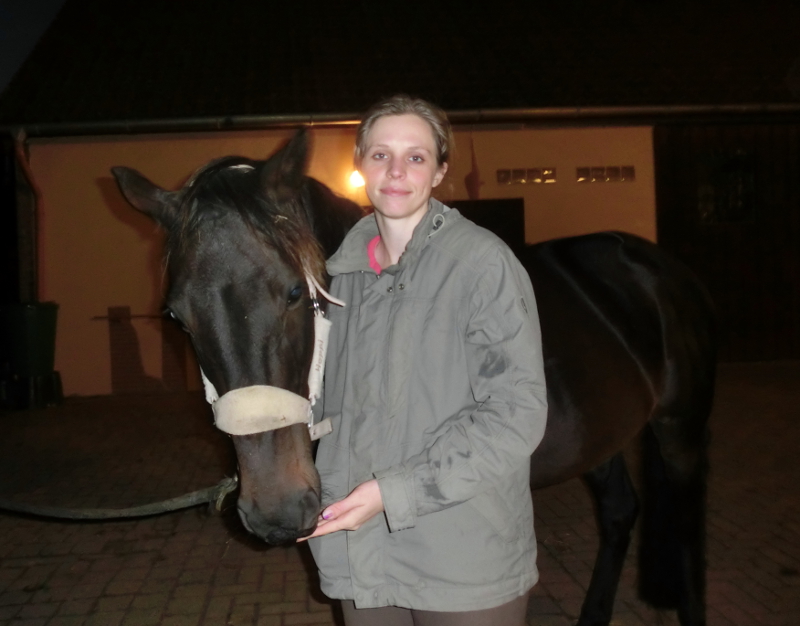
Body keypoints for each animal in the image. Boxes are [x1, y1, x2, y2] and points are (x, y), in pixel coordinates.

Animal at [112, 130, 715, 626]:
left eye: (293, 292)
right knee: (619, 513)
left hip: (680, 429)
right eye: (177, 317)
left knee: (686, 531)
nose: (276, 511)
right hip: (600, 438)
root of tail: (658, 266)